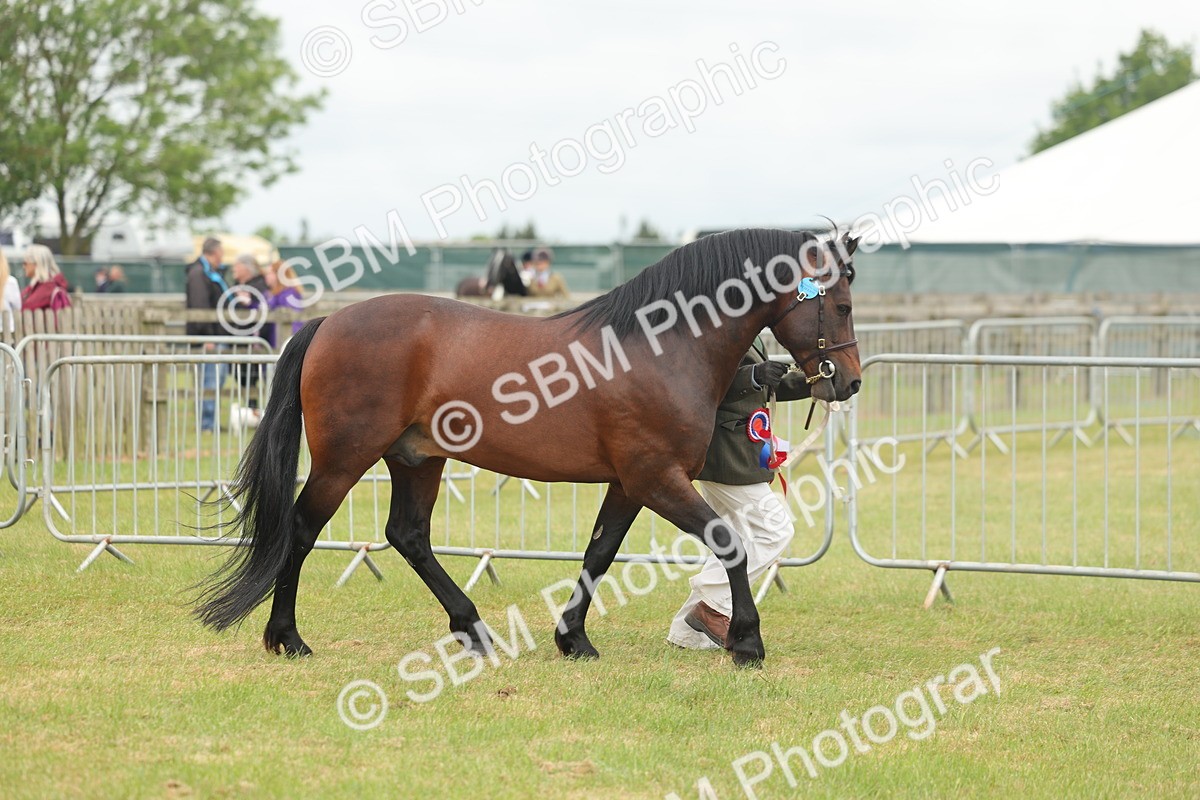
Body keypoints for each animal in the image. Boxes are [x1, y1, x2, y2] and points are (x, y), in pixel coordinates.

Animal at [195, 228, 862, 667]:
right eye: (842, 304)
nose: (849, 381)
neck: (660, 346)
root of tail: (330, 322)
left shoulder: (629, 484)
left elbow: (599, 554)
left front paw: (574, 639)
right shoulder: (657, 479)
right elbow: (729, 545)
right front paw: (747, 642)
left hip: (417, 458)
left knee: (408, 535)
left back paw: (473, 631)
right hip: (344, 459)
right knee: (302, 529)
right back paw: (287, 638)